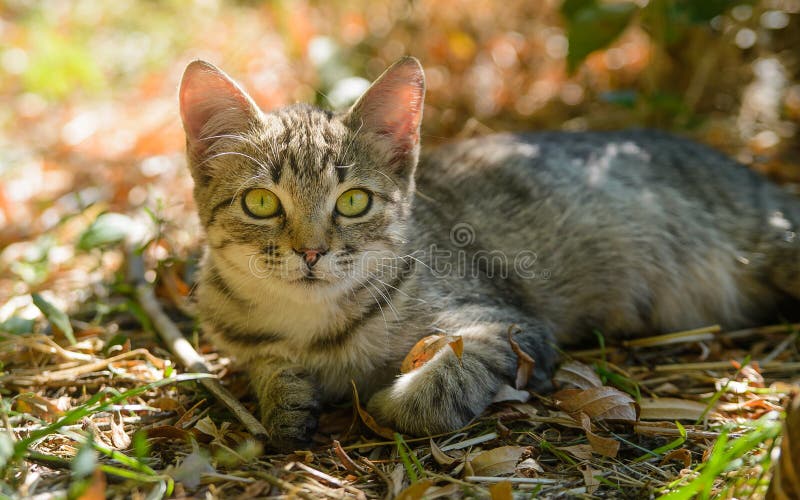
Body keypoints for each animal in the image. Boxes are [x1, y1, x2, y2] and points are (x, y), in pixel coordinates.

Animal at [180, 56, 800, 452]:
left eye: (354, 201)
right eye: (261, 202)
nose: (311, 252)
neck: (310, 325)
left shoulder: (510, 327)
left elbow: (442, 382)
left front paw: (387, 405)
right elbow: (266, 364)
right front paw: (283, 399)